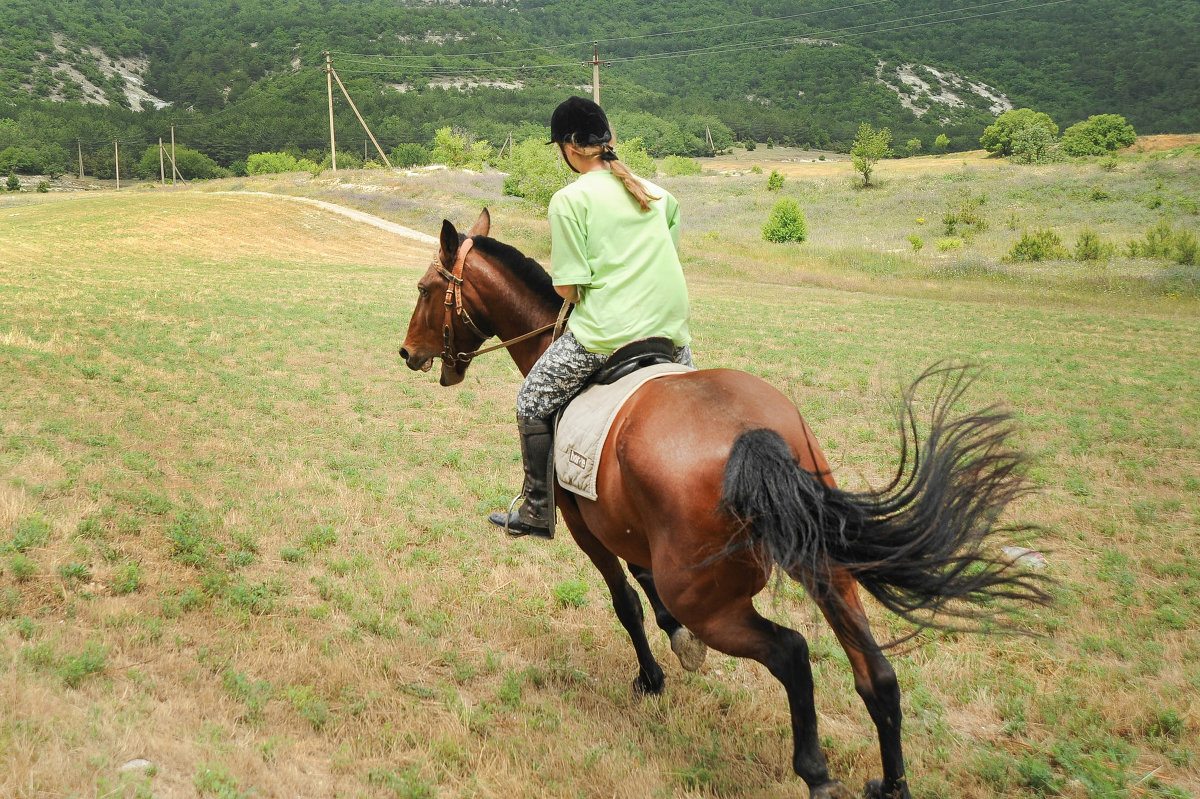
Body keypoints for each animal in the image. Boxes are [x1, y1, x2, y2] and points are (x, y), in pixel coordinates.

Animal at [398, 208, 1046, 791]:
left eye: (426, 288)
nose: (407, 353)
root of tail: (749, 436)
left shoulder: (589, 530)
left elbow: (626, 602)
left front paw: (653, 677)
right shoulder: (631, 528)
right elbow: (645, 587)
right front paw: (674, 648)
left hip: (709, 599)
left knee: (791, 652)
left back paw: (816, 773)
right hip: (824, 565)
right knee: (877, 674)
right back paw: (890, 784)